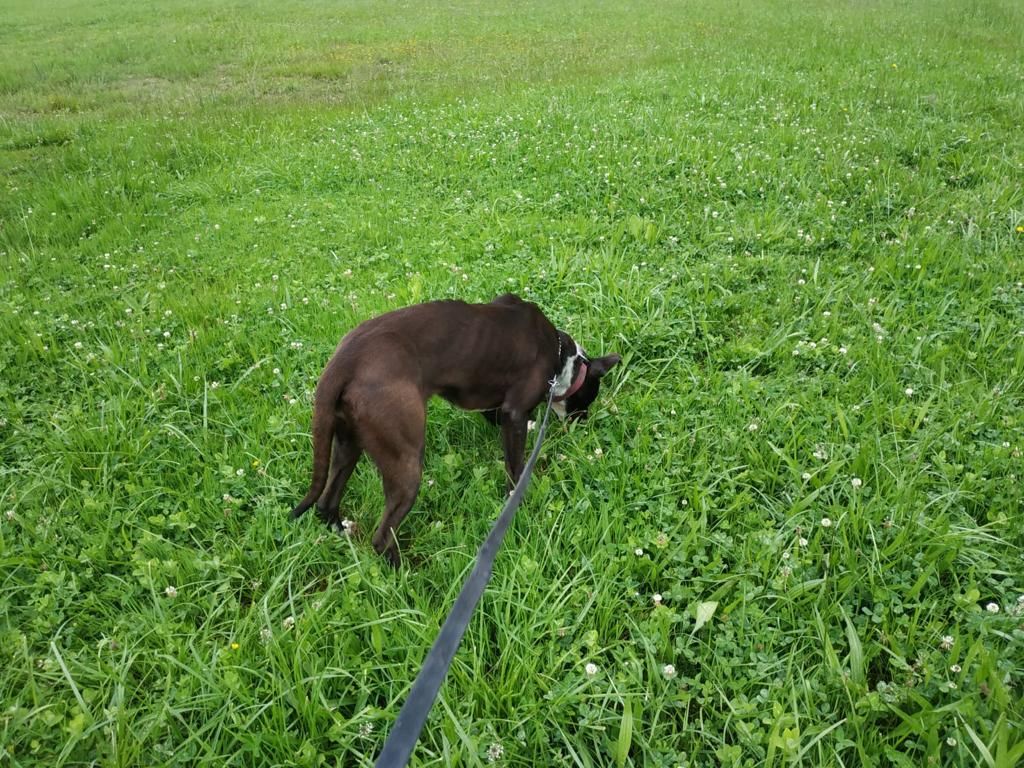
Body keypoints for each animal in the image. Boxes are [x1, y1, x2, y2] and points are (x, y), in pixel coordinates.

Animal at [292, 294, 618, 565]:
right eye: (590, 395)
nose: (583, 422)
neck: (562, 356)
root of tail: (342, 361)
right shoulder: (514, 413)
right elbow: (516, 468)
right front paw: (517, 500)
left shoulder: (496, 408)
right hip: (405, 459)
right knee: (382, 536)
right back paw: (405, 572)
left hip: (348, 442)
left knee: (326, 503)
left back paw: (341, 532)